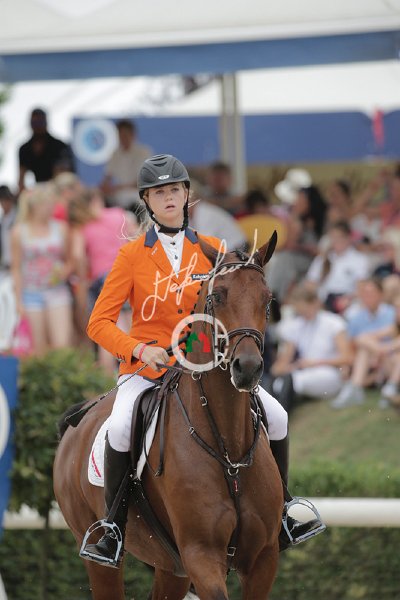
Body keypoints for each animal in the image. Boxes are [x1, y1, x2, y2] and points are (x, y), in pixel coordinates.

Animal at [53, 232, 283, 600]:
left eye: (267, 299)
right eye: (217, 296)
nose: (247, 369)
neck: (229, 449)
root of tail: (77, 422)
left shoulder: (264, 558)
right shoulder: (200, 555)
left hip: (170, 567)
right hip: (102, 557)